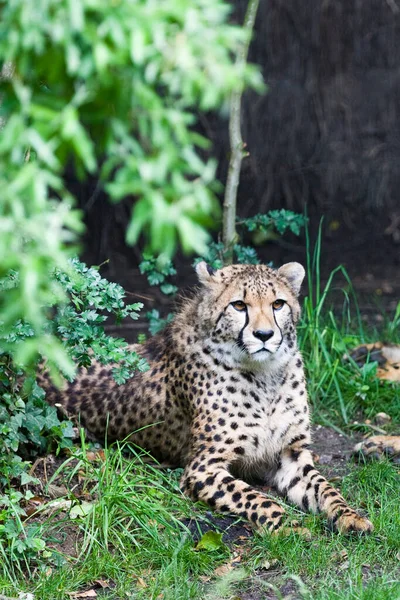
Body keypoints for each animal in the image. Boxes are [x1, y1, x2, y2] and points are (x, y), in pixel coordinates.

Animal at [39, 262, 374, 536]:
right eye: (239, 305)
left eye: (278, 304)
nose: (265, 335)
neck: (265, 376)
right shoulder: (202, 468)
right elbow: (255, 497)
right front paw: (289, 526)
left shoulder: (290, 455)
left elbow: (326, 488)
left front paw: (350, 516)